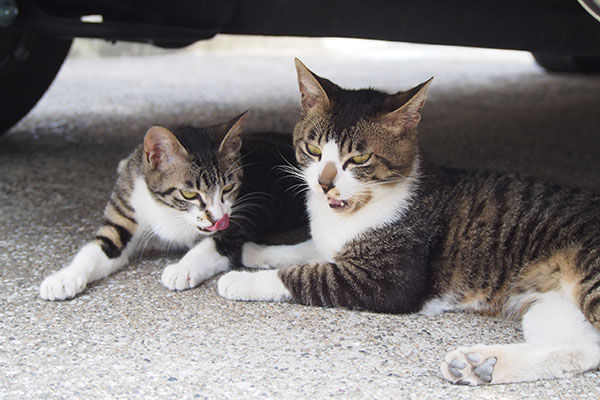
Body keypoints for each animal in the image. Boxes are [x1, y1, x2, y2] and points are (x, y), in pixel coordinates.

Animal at [41, 112, 304, 300]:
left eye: (228, 188)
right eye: (189, 193)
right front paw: (63, 278)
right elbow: (96, 249)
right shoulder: (125, 209)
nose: (218, 219)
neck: (168, 210)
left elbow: (211, 245)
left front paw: (182, 268)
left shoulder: (241, 220)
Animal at [218, 58, 600, 384]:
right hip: (551, 304)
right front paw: (257, 251)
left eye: (359, 158)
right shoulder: (331, 242)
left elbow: (310, 275)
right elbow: (308, 248)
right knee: (584, 349)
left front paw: (241, 280)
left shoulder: (390, 281)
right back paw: (480, 365)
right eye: (313, 150)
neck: (350, 209)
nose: (324, 184)